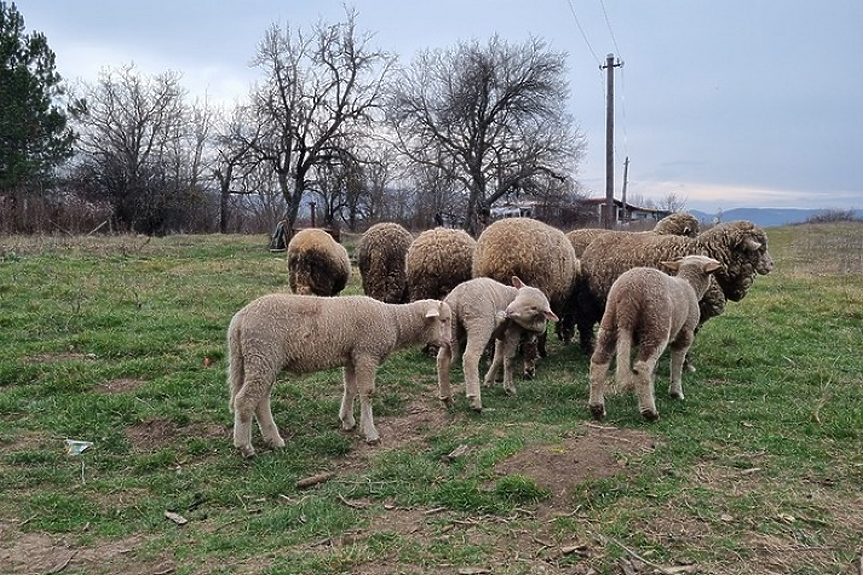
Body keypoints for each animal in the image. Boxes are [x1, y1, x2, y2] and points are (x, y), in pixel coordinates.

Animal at [226, 294, 456, 456]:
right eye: (444, 320)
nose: (450, 342)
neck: (394, 320)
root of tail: (238, 320)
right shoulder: (366, 353)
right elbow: (367, 392)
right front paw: (370, 432)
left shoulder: (352, 356)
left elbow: (350, 388)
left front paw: (347, 420)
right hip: (262, 353)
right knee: (245, 401)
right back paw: (245, 447)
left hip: (262, 360)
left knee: (261, 400)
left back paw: (274, 441)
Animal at [438, 276, 560, 412]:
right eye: (517, 297)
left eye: (533, 308)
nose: (508, 311)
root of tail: (458, 296)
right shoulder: (513, 331)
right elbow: (509, 359)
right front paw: (509, 388)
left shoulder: (502, 335)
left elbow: (498, 357)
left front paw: (489, 381)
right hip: (480, 323)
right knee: (470, 357)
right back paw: (475, 401)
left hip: (451, 327)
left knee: (442, 359)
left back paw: (446, 399)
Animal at [572, 220, 776, 354]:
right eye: (760, 248)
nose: (771, 265)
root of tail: (598, 241)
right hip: (588, 300)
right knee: (585, 323)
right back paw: (588, 348)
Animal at [592, 256, 724, 424]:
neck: (689, 284)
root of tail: (629, 293)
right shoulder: (685, 333)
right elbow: (677, 363)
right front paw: (676, 393)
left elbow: (655, 369)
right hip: (656, 324)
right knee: (642, 367)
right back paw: (650, 413)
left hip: (609, 323)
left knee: (598, 362)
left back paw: (597, 409)